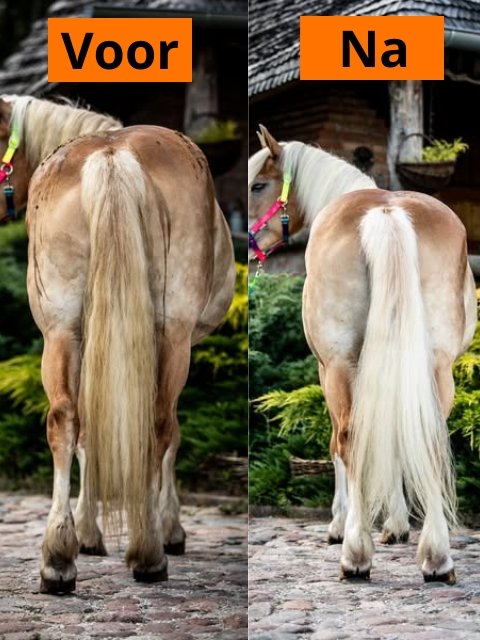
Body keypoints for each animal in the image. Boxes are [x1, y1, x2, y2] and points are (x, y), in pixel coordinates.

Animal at [0, 95, 236, 593]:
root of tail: (113, 155)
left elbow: (88, 431)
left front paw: (87, 534)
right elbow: (169, 435)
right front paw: (169, 528)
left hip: (62, 330)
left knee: (65, 420)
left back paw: (58, 561)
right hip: (170, 336)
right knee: (158, 423)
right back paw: (148, 551)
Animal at [249, 126, 477, 584]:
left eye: (258, 185)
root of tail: (386, 214)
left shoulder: (326, 369)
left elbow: (339, 443)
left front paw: (341, 525)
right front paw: (396, 526)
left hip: (339, 368)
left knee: (350, 438)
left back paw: (355, 553)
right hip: (435, 366)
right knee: (425, 435)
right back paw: (437, 558)